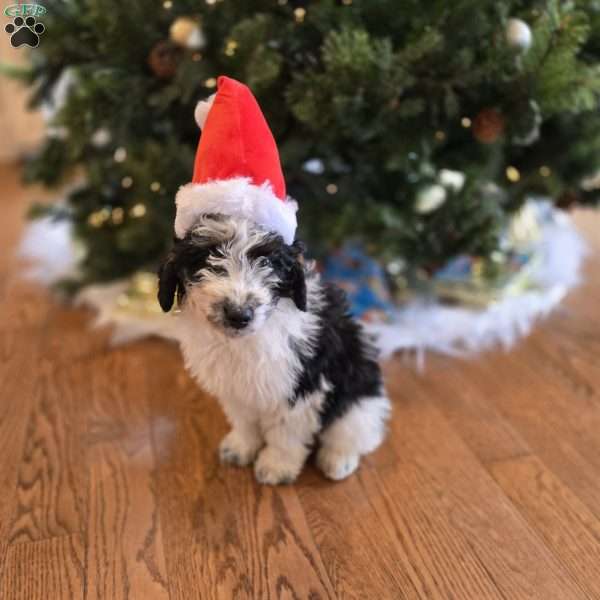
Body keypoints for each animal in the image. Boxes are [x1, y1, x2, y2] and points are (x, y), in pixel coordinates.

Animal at [157, 213, 392, 486]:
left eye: (267, 261)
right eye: (209, 255)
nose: (239, 315)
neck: (245, 340)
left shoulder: (299, 388)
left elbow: (285, 432)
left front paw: (276, 466)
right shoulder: (237, 388)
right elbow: (245, 420)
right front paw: (241, 447)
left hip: (359, 395)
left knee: (353, 431)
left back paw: (338, 459)